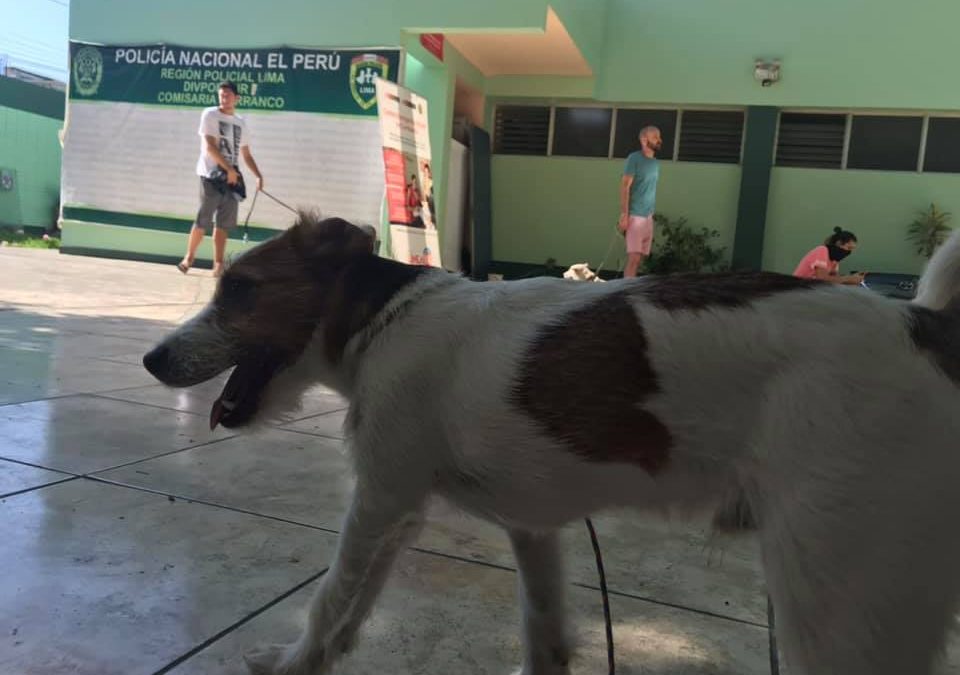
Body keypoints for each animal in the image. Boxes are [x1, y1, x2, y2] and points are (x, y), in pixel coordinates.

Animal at [144, 213, 960, 675]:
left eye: (240, 289)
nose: (152, 360)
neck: (382, 321)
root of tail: (928, 326)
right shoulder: (506, 525)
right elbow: (539, 632)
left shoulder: (377, 500)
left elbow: (331, 598)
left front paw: (291, 662)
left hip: (838, 597)